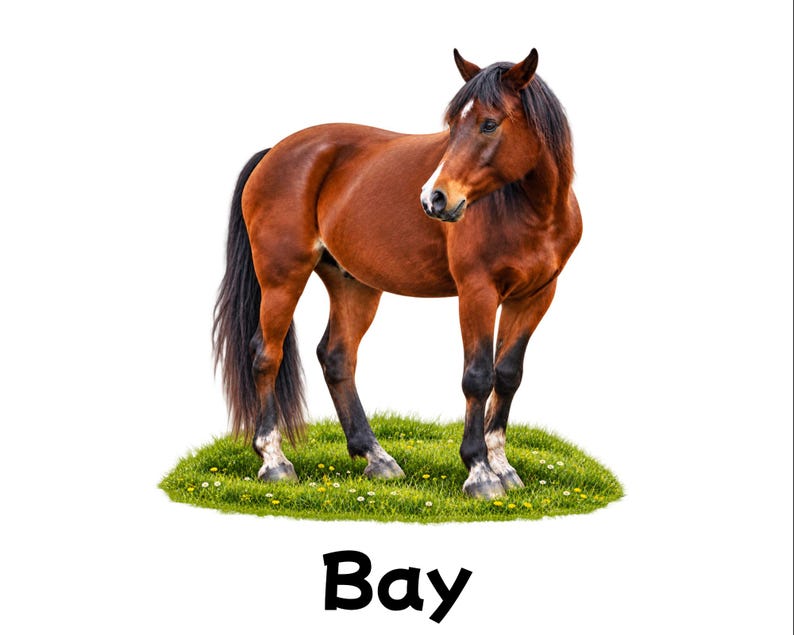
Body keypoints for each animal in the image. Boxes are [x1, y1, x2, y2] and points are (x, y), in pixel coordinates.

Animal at [213, 48, 582, 499]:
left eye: (489, 123)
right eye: (453, 124)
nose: (434, 198)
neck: (532, 212)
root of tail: (274, 152)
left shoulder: (535, 296)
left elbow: (508, 375)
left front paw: (502, 466)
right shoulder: (477, 292)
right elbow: (478, 376)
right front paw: (479, 472)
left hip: (353, 284)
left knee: (337, 358)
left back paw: (376, 457)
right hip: (282, 277)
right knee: (266, 354)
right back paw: (274, 460)